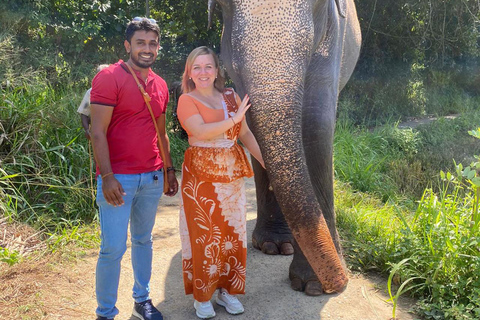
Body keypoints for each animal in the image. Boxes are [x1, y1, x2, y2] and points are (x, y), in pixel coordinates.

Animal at [206, 0, 360, 296]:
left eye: (320, 3)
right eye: (222, 5)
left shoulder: (335, 36)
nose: (339, 281)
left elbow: (315, 124)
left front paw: (314, 285)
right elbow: (252, 124)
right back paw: (276, 245)